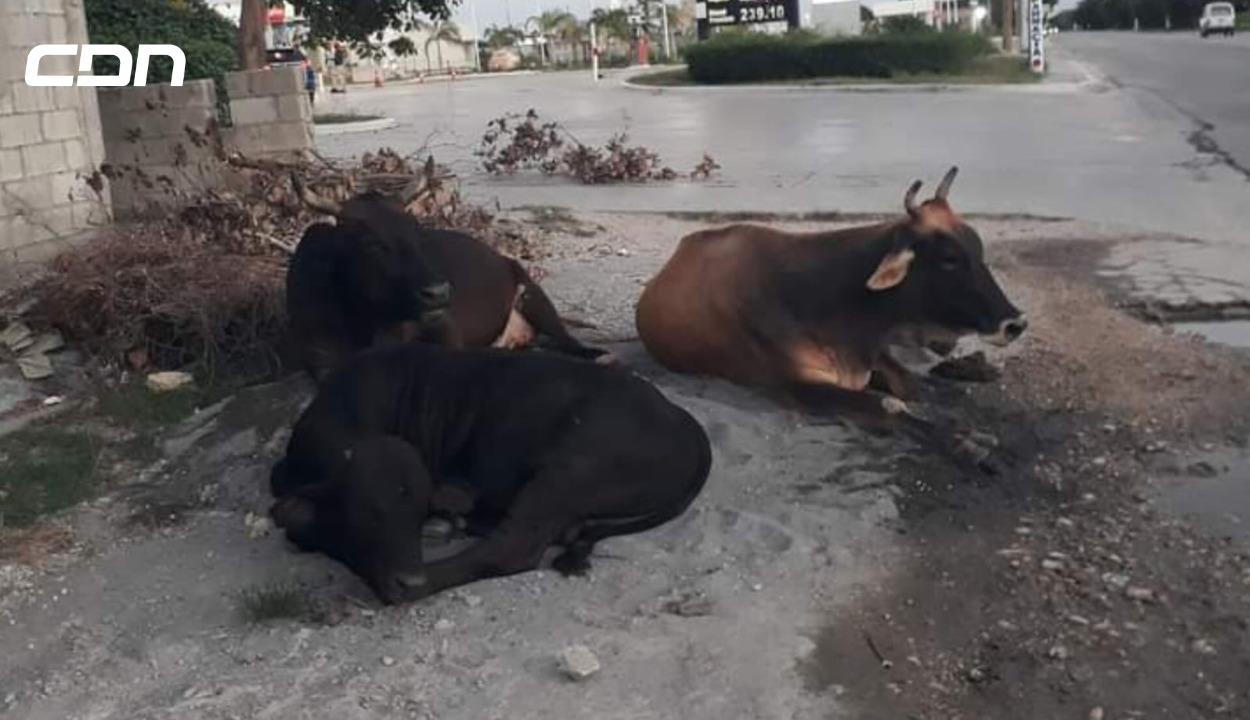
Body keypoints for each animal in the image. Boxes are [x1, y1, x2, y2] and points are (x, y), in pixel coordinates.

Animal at [267, 340, 712, 605]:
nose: (409, 581)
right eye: (365, 511)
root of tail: (682, 418)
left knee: (512, 547)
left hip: (566, 475)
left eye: (416, 512)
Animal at [285, 174, 609, 382]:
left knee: (565, 338)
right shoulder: (318, 354)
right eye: (370, 243)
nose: (438, 292)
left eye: (417, 231)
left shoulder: (445, 327)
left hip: (531, 291)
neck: (364, 317)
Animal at [634, 167, 1026, 418]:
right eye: (949, 259)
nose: (1015, 323)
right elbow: (890, 408)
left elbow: (911, 388)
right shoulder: (800, 384)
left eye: (978, 249)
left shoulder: (874, 354)